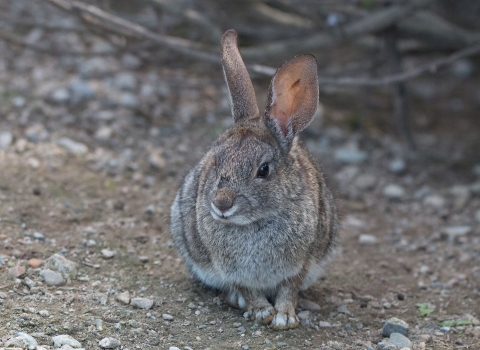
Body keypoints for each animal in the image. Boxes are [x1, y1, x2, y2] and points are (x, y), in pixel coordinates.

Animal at [172, 28, 338, 330]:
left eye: (263, 170)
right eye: (216, 161)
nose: (221, 204)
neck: (255, 222)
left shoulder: (301, 263)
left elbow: (289, 288)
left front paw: (285, 317)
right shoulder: (231, 269)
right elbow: (246, 288)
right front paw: (262, 312)